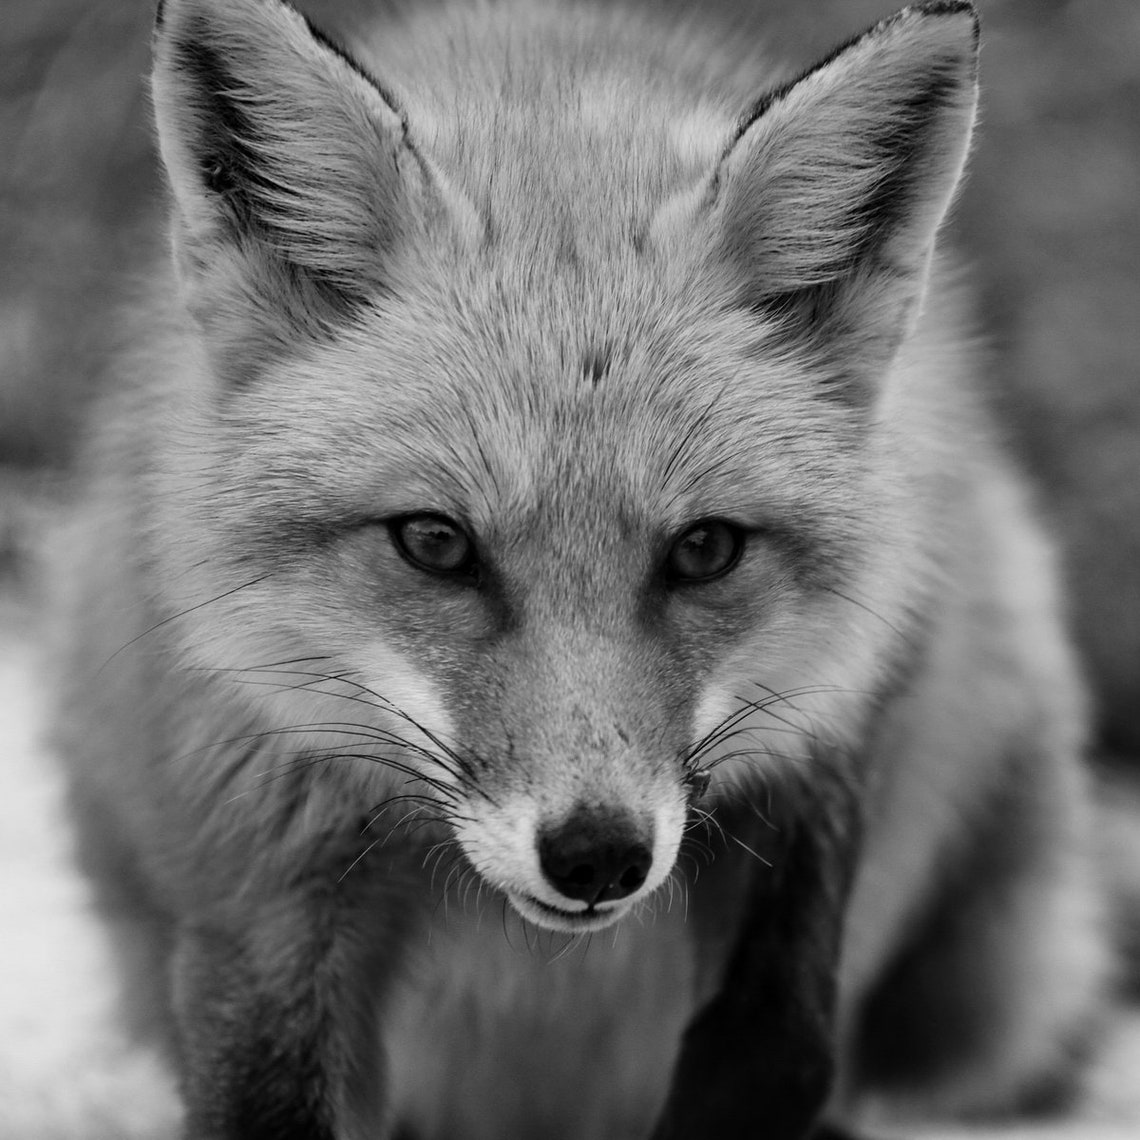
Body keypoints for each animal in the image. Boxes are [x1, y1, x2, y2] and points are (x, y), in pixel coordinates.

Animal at [53, 0, 1112, 1137]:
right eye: (435, 542)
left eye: (704, 548)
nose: (599, 854)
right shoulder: (259, 863)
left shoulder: (825, 738)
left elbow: (774, 1049)